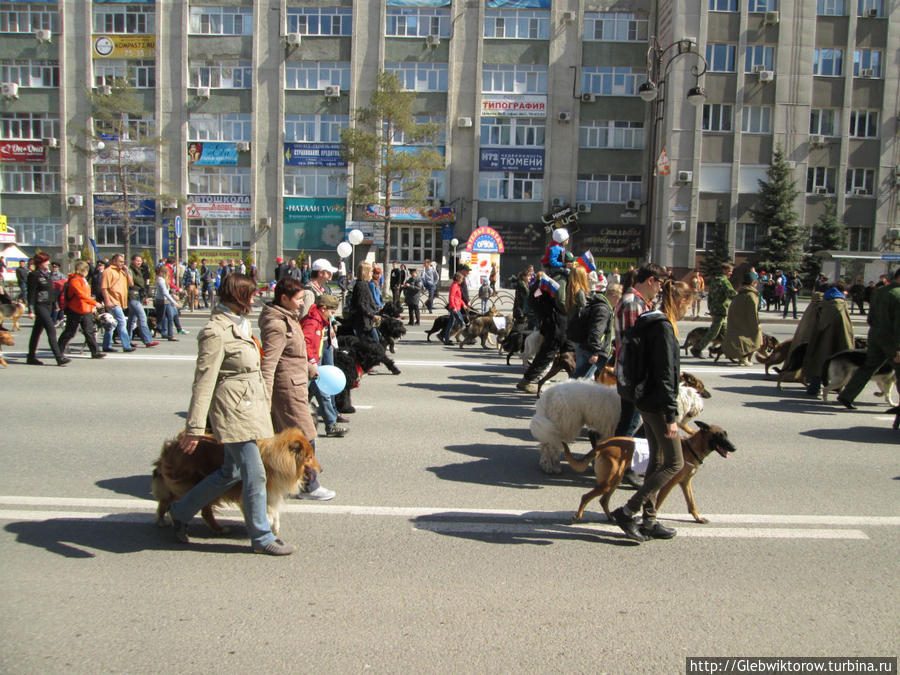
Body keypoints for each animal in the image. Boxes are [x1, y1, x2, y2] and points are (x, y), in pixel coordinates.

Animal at [153, 430, 322, 536]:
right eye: (309, 457)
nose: (321, 469)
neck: (279, 460)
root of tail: (173, 446)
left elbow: (273, 511)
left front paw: (272, 526)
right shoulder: (262, 490)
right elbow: (269, 511)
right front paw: (268, 525)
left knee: (167, 500)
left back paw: (164, 519)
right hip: (195, 484)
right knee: (201, 509)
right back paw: (217, 529)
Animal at [564, 422, 740, 528]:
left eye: (726, 434)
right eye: (719, 435)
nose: (734, 448)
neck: (690, 448)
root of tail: (603, 445)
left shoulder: (685, 483)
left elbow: (692, 504)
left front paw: (698, 518)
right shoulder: (668, 484)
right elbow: (657, 503)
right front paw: (648, 520)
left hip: (613, 481)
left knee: (603, 500)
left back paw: (612, 518)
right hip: (608, 482)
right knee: (586, 497)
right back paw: (577, 517)